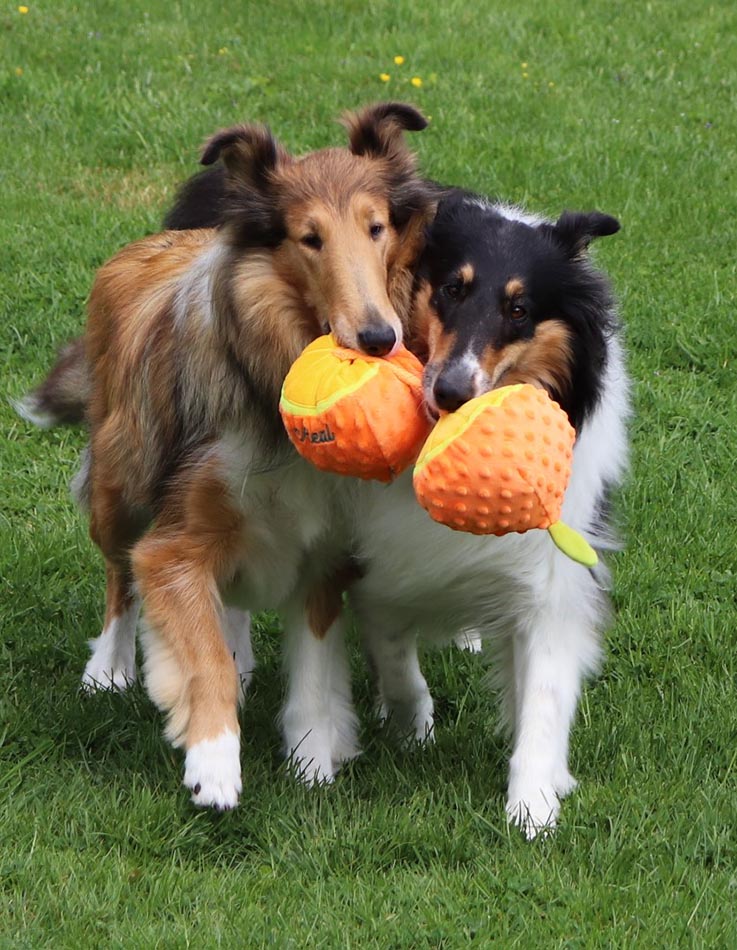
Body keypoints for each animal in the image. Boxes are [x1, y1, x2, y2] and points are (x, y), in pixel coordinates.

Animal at [20, 102, 436, 812]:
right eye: (308, 238)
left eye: (376, 227)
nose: (380, 338)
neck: (269, 378)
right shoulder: (173, 544)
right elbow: (199, 656)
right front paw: (213, 763)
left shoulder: (323, 553)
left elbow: (313, 676)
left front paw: (312, 762)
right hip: (121, 482)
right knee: (118, 576)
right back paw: (108, 668)